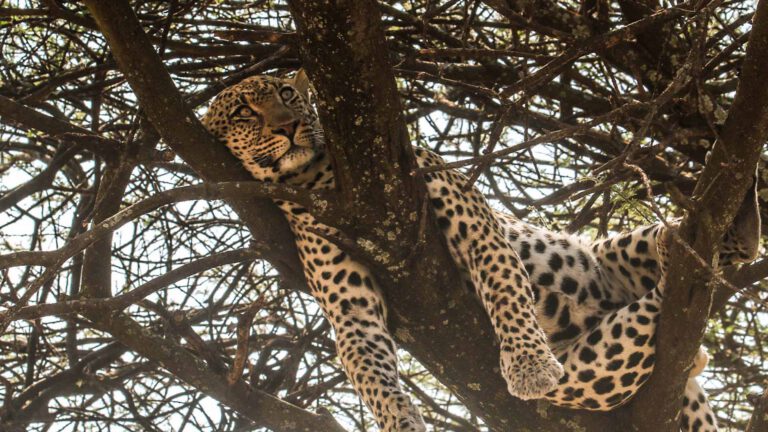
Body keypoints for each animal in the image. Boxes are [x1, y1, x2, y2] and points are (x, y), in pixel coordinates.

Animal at [202, 71, 761, 432]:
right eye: (245, 111)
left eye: (288, 94)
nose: (287, 126)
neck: (321, 181)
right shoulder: (347, 300)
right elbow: (368, 365)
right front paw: (401, 421)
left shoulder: (467, 214)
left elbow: (504, 285)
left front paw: (529, 366)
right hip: (595, 371)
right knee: (661, 306)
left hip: (614, 253)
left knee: (728, 252)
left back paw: (715, 211)